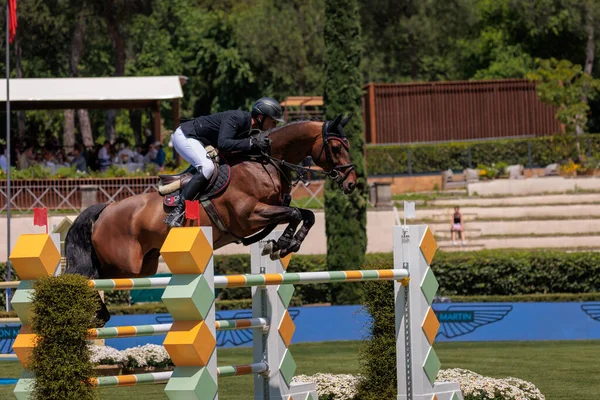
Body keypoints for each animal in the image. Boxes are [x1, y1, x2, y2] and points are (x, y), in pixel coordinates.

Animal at [64, 114, 356, 290]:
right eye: (336, 147)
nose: (351, 183)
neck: (263, 164)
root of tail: (105, 210)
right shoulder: (250, 216)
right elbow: (294, 213)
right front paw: (280, 244)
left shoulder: (271, 210)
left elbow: (307, 215)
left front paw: (286, 245)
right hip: (121, 267)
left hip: (143, 267)